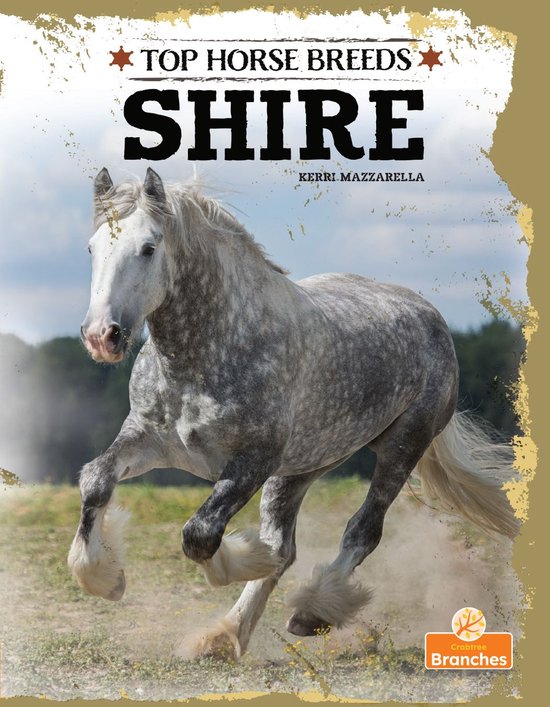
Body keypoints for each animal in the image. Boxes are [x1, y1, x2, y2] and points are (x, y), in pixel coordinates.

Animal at [68, 167, 519, 660]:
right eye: (91, 247)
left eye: (148, 247)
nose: (102, 336)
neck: (210, 350)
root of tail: (430, 316)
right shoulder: (148, 439)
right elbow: (96, 479)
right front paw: (105, 579)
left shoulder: (252, 461)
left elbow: (201, 533)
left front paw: (244, 559)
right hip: (302, 467)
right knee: (286, 546)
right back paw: (223, 634)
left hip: (402, 447)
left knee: (362, 531)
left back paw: (311, 612)